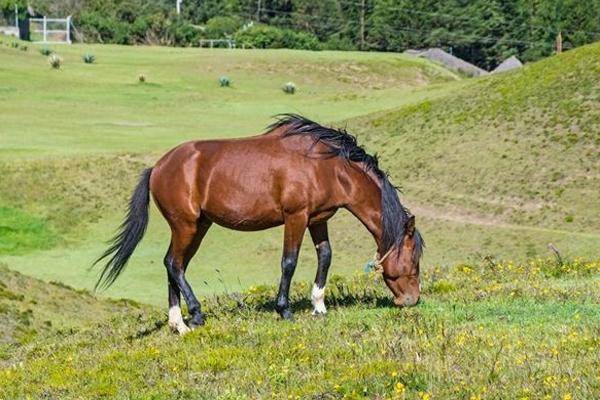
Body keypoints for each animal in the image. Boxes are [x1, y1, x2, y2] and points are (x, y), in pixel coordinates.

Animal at [95, 114, 422, 332]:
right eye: (414, 259)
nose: (412, 300)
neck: (326, 166)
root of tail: (158, 167)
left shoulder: (318, 220)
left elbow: (326, 257)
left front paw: (319, 306)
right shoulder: (295, 217)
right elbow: (289, 261)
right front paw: (284, 310)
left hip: (199, 226)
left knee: (174, 265)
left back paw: (179, 323)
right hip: (185, 225)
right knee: (173, 264)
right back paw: (195, 315)